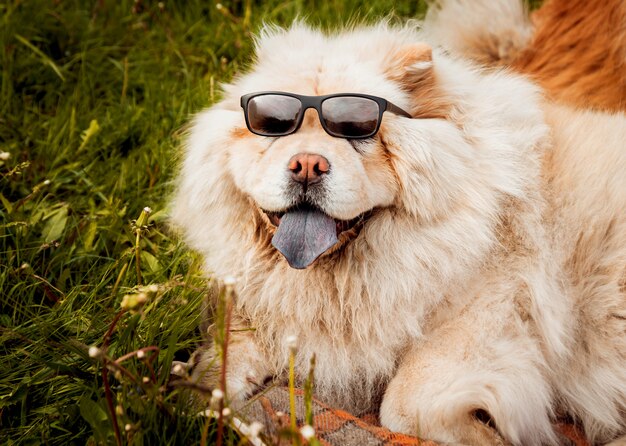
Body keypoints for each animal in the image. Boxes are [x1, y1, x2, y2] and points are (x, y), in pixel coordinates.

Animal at [171, 2, 624, 442]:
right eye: (274, 125)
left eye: (358, 130)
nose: (307, 165)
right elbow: (218, 363)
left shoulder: (491, 316)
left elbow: (403, 404)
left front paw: (494, 433)